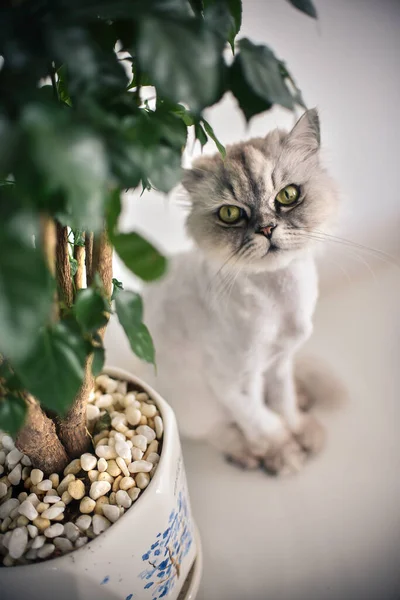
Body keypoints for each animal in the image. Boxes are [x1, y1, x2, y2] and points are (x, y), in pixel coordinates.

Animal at [136, 108, 340, 474]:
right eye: (230, 213)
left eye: (287, 196)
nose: (267, 229)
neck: (279, 299)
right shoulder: (233, 382)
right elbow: (263, 422)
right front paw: (285, 453)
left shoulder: (280, 362)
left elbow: (284, 404)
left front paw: (301, 430)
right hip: (194, 404)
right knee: (219, 432)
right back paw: (249, 454)